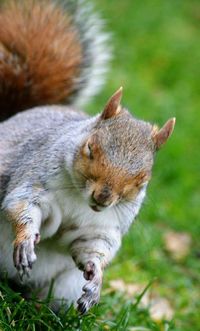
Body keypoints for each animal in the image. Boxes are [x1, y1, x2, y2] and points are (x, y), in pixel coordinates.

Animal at [0, 0, 175, 316]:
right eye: (90, 148)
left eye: (143, 179)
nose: (103, 197)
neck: (78, 199)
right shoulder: (35, 177)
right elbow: (21, 205)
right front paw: (26, 240)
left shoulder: (101, 227)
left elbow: (92, 248)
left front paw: (96, 281)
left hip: (63, 288)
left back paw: (42, 310)